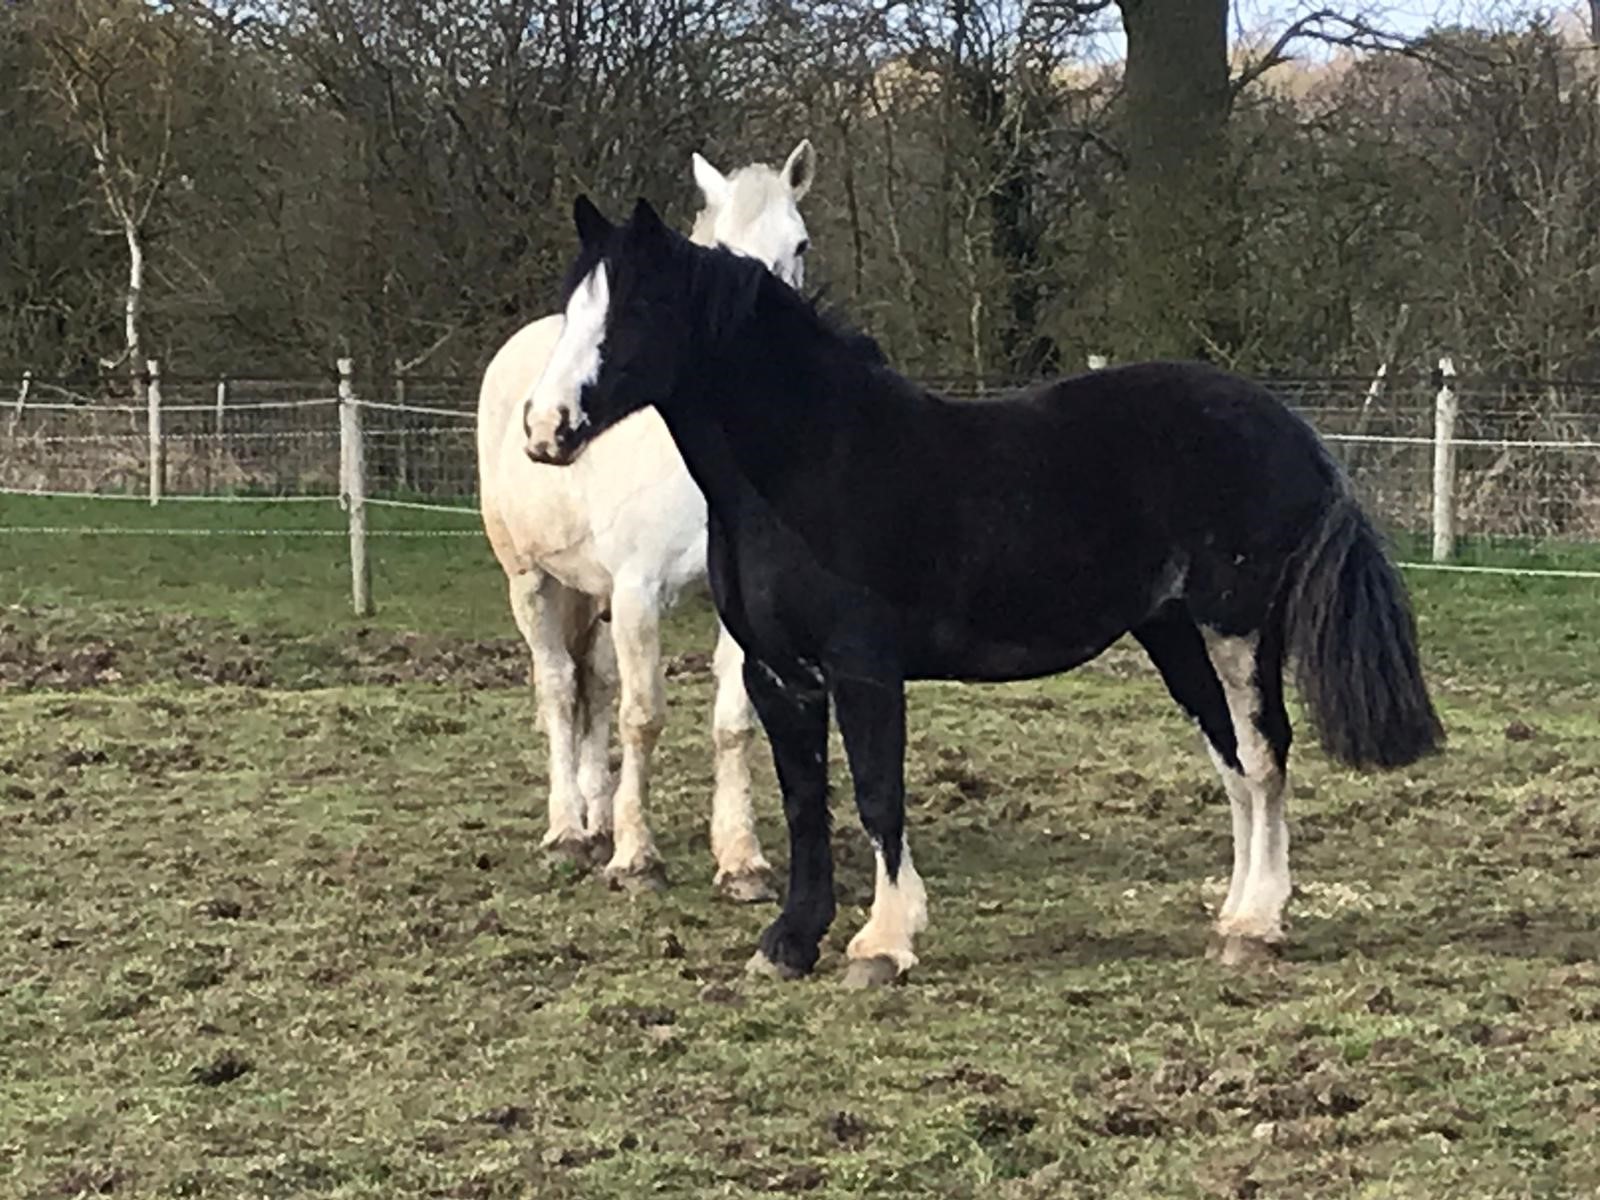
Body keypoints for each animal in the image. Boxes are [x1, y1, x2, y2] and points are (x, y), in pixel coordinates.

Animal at [476, 141, 816, 899]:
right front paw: (636, 860)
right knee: (559, 688)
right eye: (716, 253)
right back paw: (570, 832)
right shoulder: (637, 593)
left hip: (594, 596)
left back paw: (598, 818)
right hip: (530, 582)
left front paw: (742, 861)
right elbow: (644, 715)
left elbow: (731, 722)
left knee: (596, 686)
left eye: (800, 245)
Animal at [524, 196, 1444, 985]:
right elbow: (805, 803)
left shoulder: (863, 669)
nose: (544, 429)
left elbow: (877, 795)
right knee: (1233, 762)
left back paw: (1259, 926)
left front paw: (883, 944)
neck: (808, 463)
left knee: (1262, 754)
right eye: (571, 305)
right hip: (1176, 634)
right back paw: (1231, 918)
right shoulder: (779, 675)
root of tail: (1295, 430)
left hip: (1238, 629)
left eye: (638, 308)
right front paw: (788, 943)